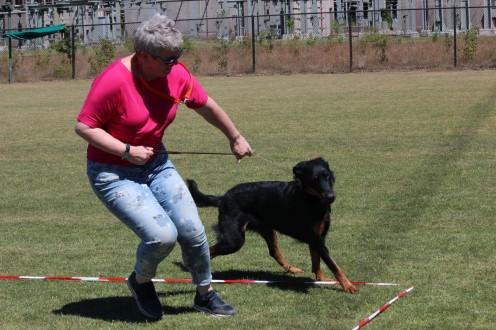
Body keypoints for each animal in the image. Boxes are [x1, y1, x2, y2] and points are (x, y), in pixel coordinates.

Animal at [186, 158, 356, 294]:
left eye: (327, 176)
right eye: (315, 179)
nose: (331, 197)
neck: (311, 199)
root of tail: (222, 198)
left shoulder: (317, 238)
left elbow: (317, 261)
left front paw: (321, 278)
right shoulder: (316, 239)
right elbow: (333, 264)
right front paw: (348, 286)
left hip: (267, 230)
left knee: (274, 252)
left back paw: (292, 268)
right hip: (234, 241)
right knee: (210, 250)